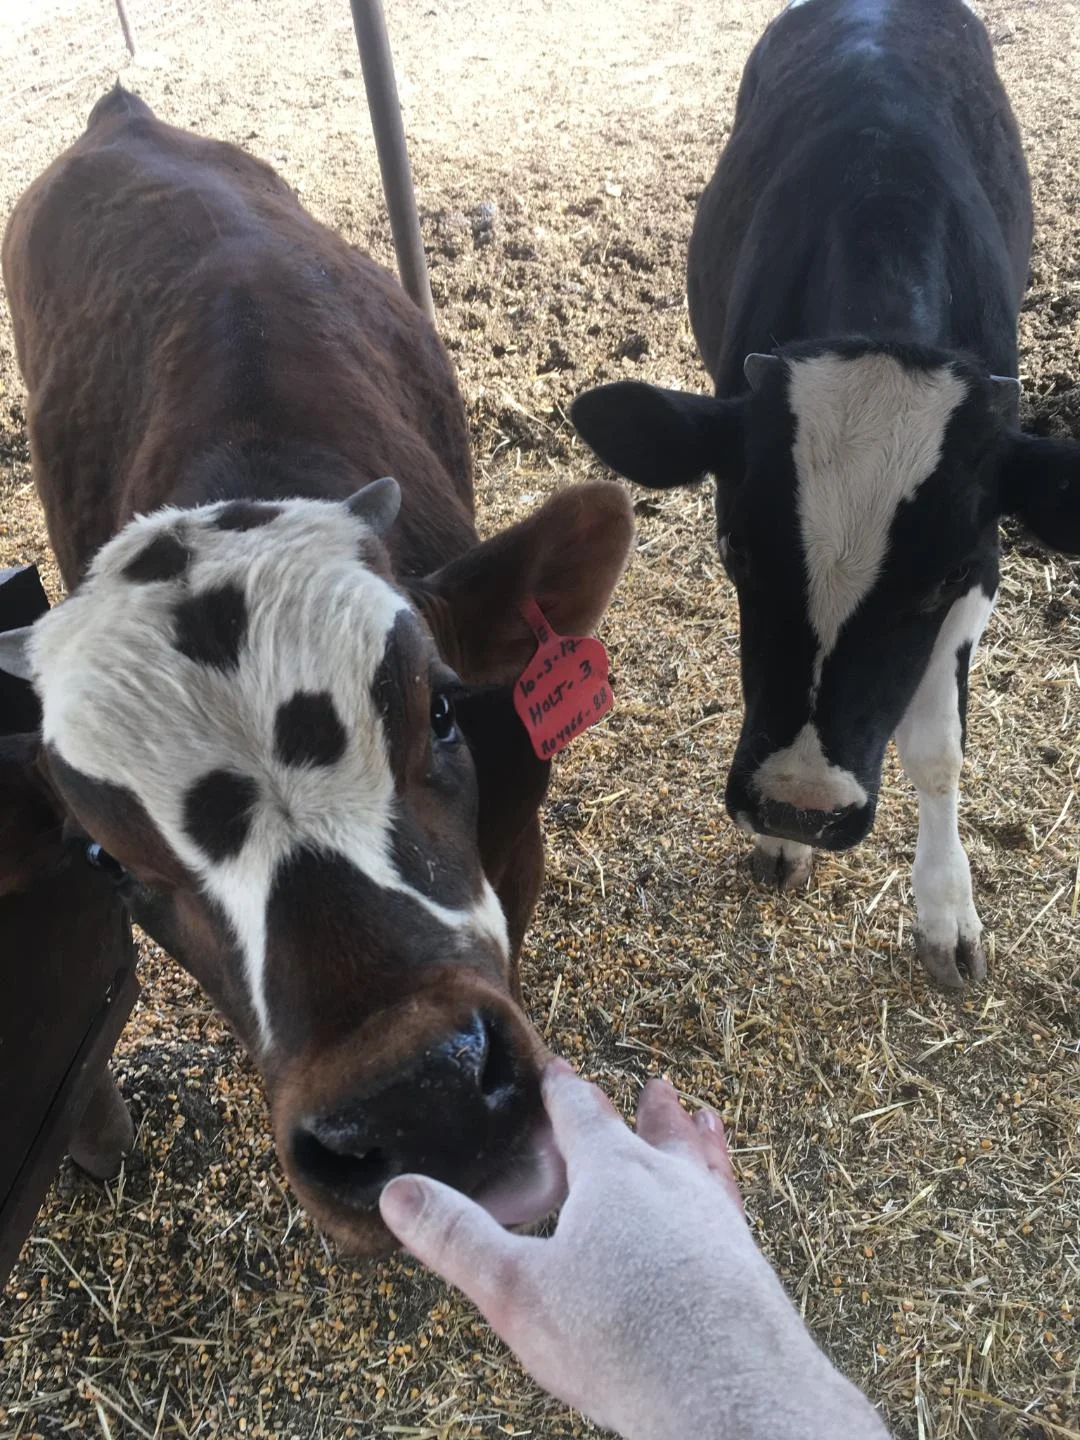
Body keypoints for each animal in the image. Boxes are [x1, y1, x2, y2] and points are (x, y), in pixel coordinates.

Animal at [570, 0, 1080, 988]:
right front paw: (786, 849)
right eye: (737, 552)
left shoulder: (984, 554)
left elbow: (938, 748)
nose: (800, 806)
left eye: (934, 581)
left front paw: (946, 912)